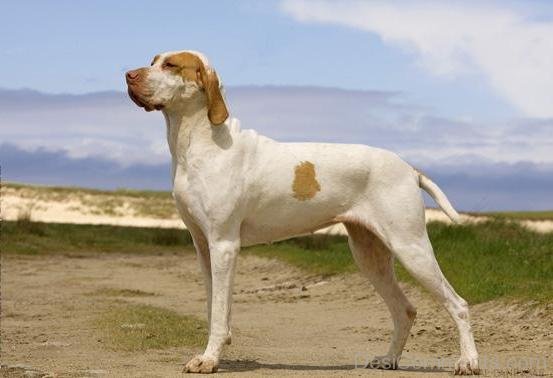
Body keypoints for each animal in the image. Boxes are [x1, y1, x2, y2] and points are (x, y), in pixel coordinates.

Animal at [126, 50, 478, 376]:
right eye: (152, 61)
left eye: (170, 65)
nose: (128, 75)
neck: (200, 143)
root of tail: (409, 168)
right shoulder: (203, 246)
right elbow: (215, 307)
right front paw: (214, 350)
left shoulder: (224, 245)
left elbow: (219, 309)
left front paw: (209, 360)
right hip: (370, 256)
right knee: (405, 309)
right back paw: (389, 359)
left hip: (411, 247)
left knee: (458, 304)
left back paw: (468, 362)